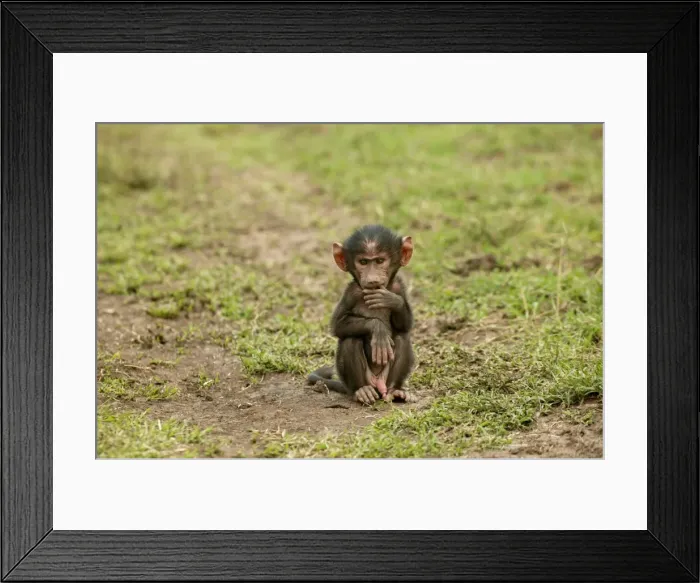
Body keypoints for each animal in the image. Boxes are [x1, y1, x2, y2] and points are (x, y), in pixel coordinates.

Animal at [307, 224, 416, 405]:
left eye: (379, 261)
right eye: (363, 262)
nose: (372, 278)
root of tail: (378, 385)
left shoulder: (399, 287)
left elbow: (406, 325)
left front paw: (392, 300)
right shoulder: (351, 292)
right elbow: (338, 325)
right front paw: (378, 329)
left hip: (385, 379)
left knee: (402, 338)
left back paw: (394, 391)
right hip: (362, 380)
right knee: (351, 340)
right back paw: (362, 391)